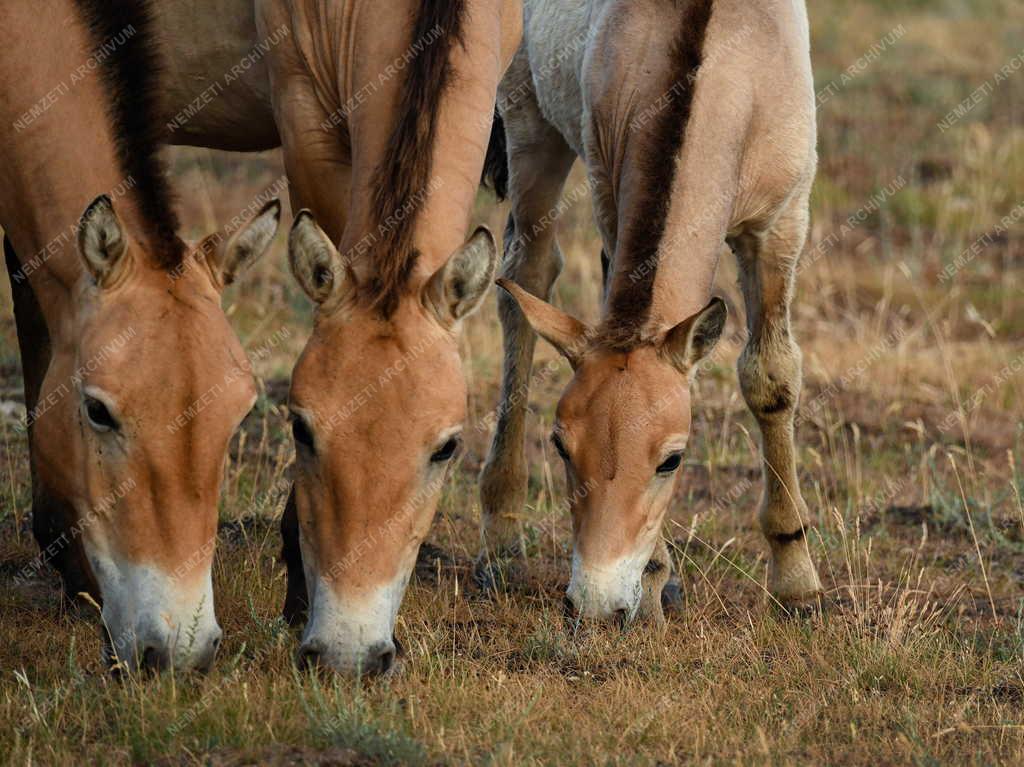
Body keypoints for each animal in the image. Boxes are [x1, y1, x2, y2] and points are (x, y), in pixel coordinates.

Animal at [479, 0, 823, 622]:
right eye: (561, 446)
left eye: (672, 460)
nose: (595, 602)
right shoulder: (613, 206)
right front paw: (658, 579)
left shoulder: (780, 228)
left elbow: (771, 378)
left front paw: (796, 581)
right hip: (528, 123)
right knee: (525, 277)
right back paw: (500, 535)